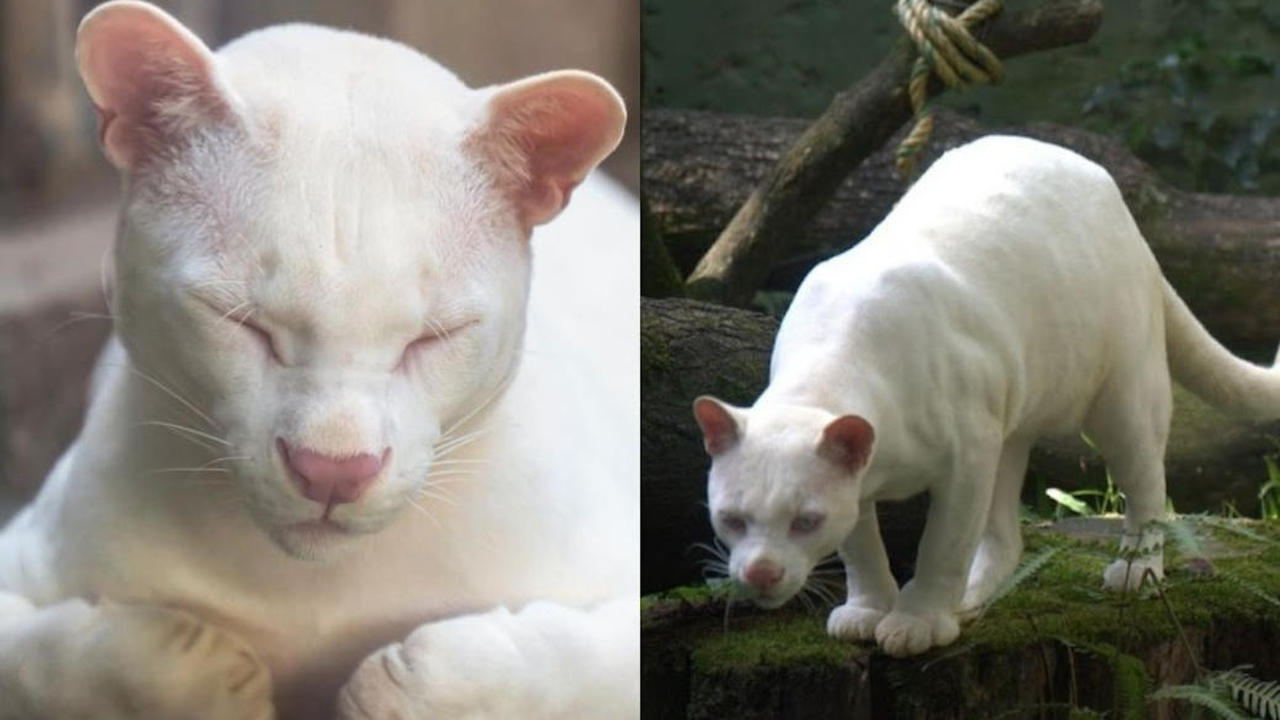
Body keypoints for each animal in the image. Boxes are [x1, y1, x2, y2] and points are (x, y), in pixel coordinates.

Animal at [0, 2, 637, 712]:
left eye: (433, 337)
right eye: (240, 321)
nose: (333, 470)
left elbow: (574, 667)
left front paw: (400, 690)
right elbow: (47, 660)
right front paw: (205, 675)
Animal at [696, 134, 1280, 655]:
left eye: (805, 521)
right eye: (732, 518)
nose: (761, 572)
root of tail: (1126, 216)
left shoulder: (966, 461)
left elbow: (942, 546)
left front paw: (918, 621)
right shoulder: (888, 481)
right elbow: (861, 549)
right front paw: (868, 610)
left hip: (1121, 405)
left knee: (1148, 490)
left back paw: (1135, 571)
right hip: (1011, 428)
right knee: (1007, 537)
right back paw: (971, 602)